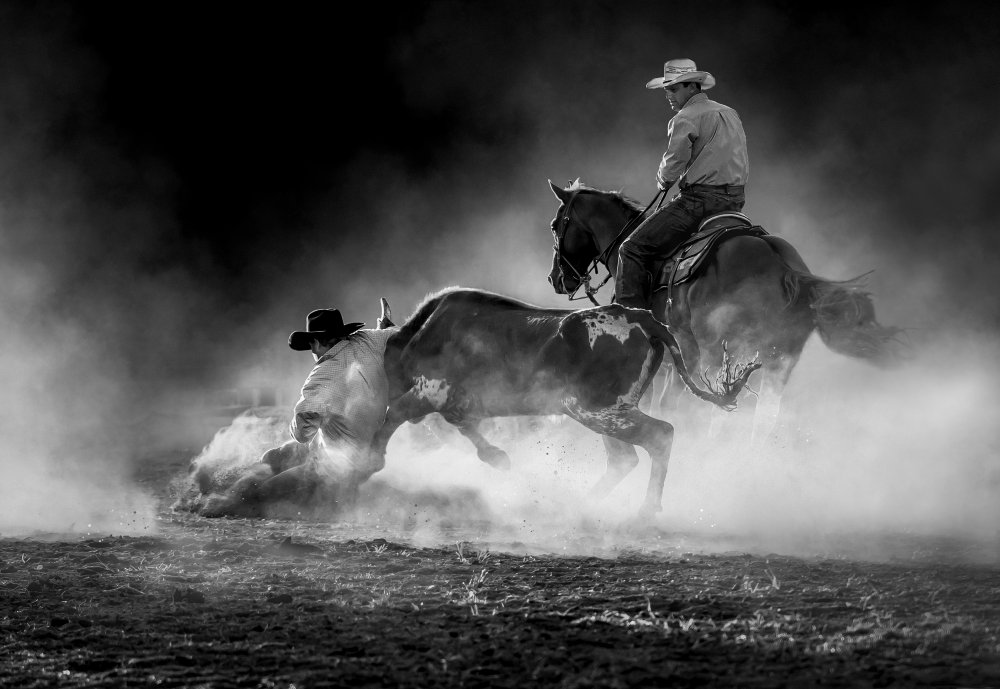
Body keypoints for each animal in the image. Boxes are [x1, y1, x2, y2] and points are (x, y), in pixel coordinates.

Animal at [548, 180, 908, 444]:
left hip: (721, 351)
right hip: (778, 358)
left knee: (719, 406)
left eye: (556, 224)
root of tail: (784, 266)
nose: (556, 278)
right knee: (764, 416)